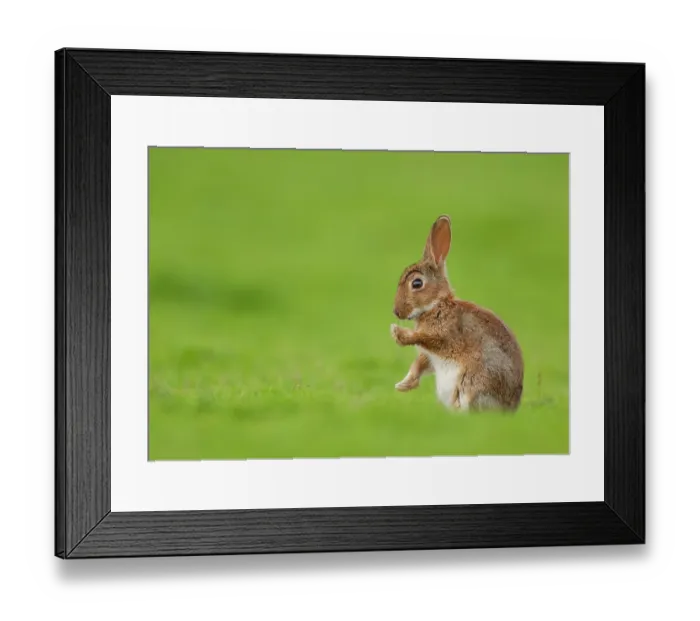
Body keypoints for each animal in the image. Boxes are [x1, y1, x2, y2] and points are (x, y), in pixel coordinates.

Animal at [390, 215, 524, 412]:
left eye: (417, 283)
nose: (396, 312)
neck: (437, 305)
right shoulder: (428, 356)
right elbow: (420, 364)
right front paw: (403, 385)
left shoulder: (444, 337)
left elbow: (425, 339)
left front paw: (399, 334)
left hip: (473, 382)